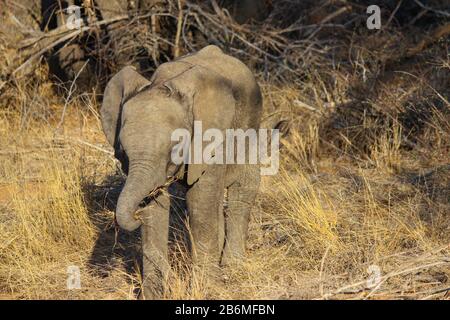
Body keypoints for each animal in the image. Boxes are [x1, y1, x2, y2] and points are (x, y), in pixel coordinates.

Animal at [101, 44, 264, 298]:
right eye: (122, 151)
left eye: (175, 148)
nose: (135, 217)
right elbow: (156, 207)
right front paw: (153, 295)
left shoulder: (210, 138)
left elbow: (199, 198)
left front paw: (206, 289)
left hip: (250, 125)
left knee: (243, 187)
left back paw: (233, 267)